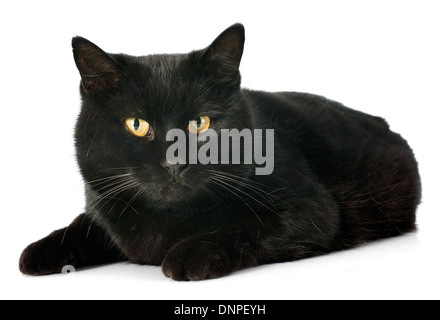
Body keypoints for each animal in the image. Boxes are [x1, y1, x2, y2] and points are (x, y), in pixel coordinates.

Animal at [18, 23, 422, 280]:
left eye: (201, 123)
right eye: (137, 124)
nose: (174, 162)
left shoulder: (311, 208)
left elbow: (244, 224)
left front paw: (188, 254)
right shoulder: (103, 201)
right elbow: (83, 224)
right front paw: (41, 250)